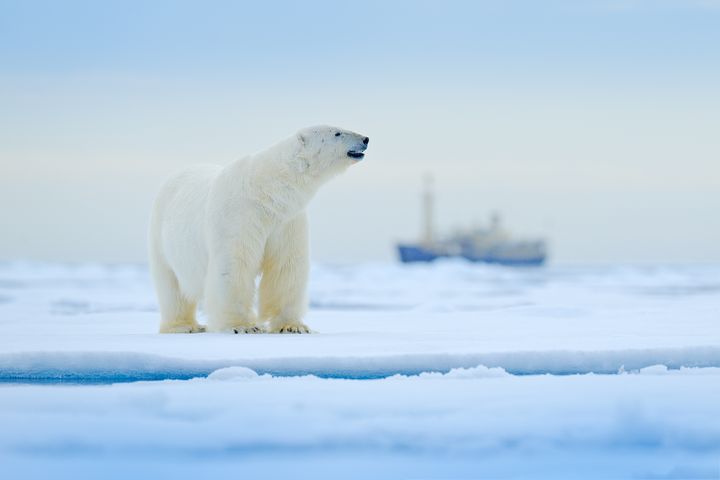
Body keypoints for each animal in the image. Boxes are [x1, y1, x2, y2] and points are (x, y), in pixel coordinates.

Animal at [148, 125, 369, 334]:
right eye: (337, 133)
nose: (365, 139)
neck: (265, 190)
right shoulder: (239, 215)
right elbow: (234, 264)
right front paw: (243, 326)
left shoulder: (286, 220)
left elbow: (286, 265)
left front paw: (293, 326)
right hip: (162, 236)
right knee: (171, 286)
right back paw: (183, 326)